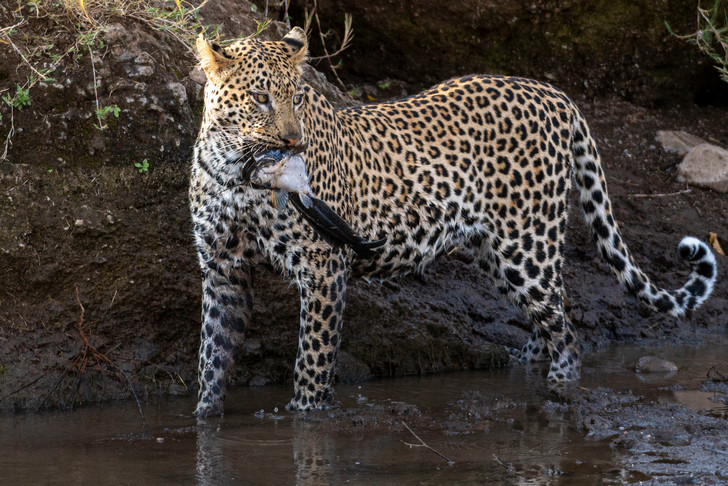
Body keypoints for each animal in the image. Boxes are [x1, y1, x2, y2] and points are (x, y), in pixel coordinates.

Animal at [188, 26, 716, 416]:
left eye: (297, 98)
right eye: (260, 98)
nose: (294, 143)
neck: (238, 172)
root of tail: (555, 93)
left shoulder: (323, 269)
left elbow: (312, 366)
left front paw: (304, 416)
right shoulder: (222, 270)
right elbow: (211, 359)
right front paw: (203, 420)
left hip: (527, 246)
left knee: (568, 336)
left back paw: (556, 395)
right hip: (498, 255)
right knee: (554, 317)